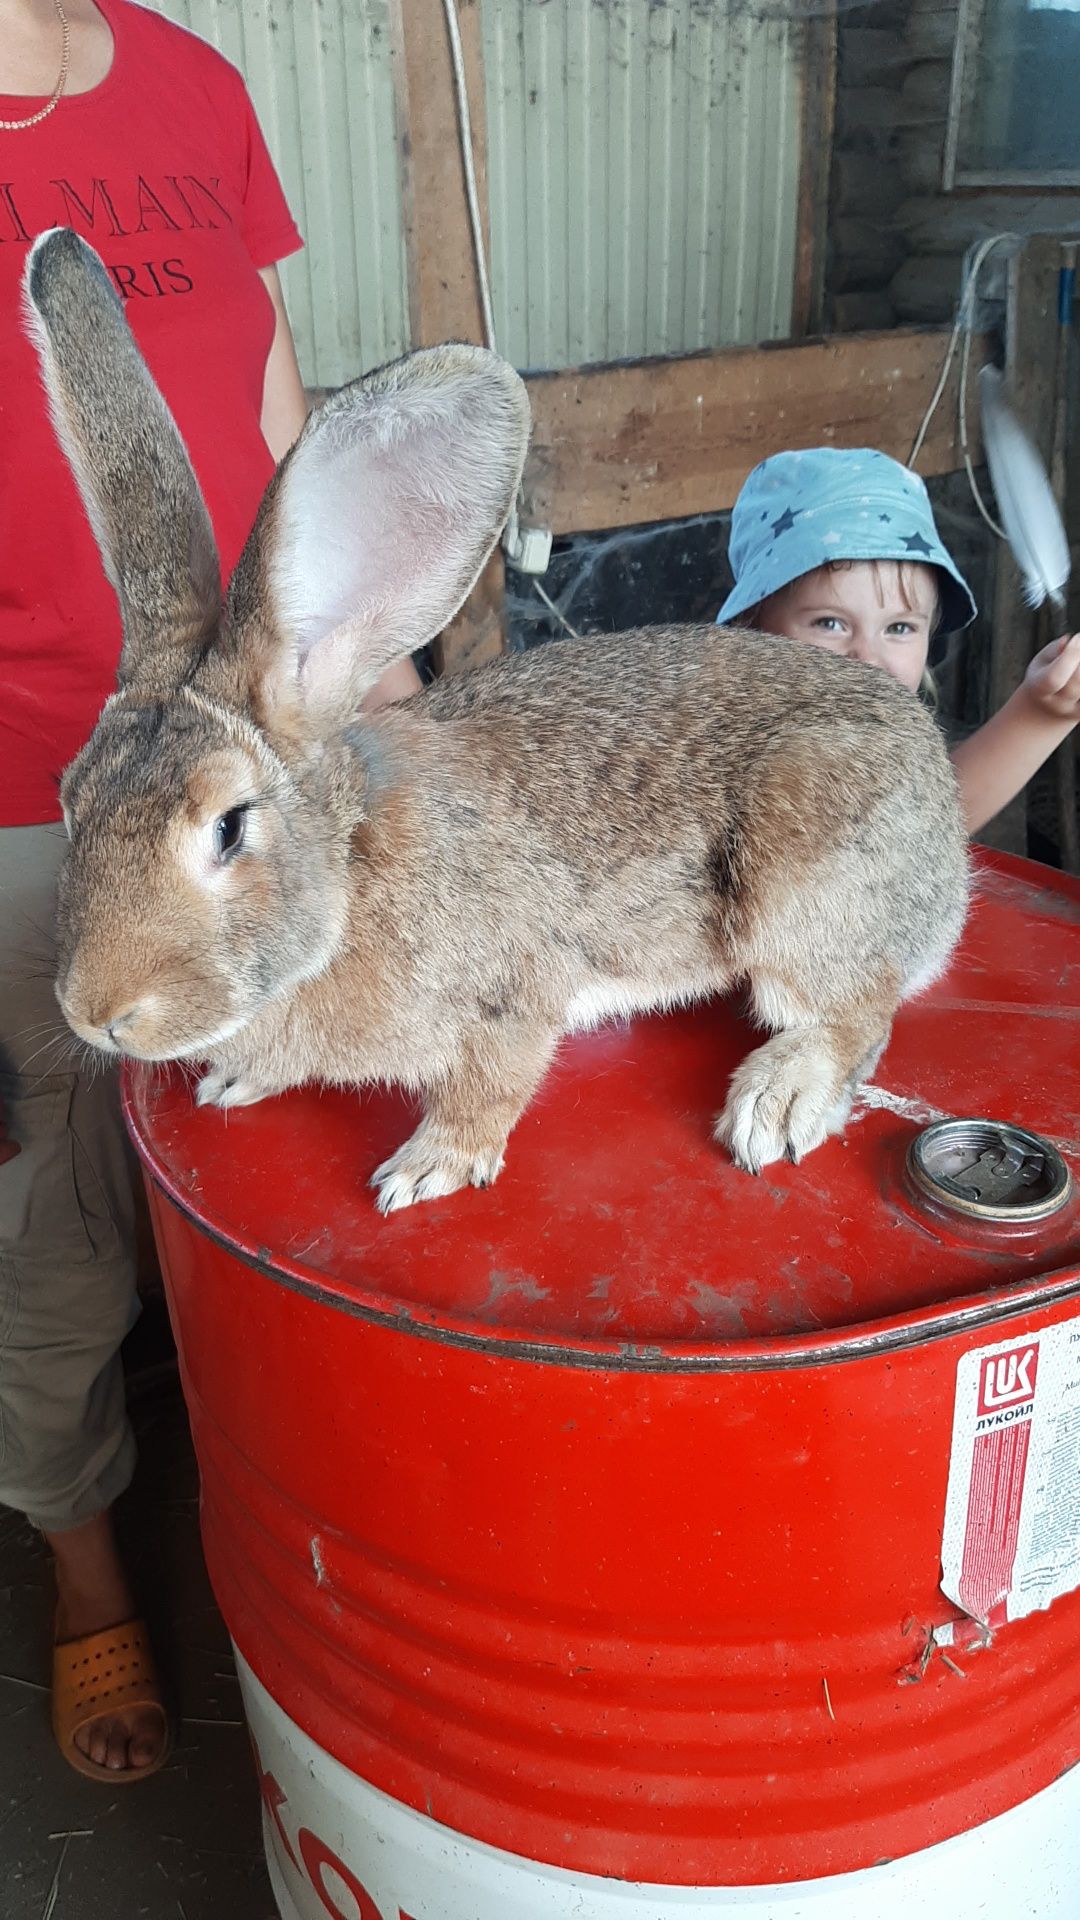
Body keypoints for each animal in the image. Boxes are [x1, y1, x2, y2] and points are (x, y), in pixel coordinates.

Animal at [27, 228, 968, 1213]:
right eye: (68, 801)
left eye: (229, 827)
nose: (98, 1015)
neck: (348, 876)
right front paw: (239, 1078)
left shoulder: (513, 994)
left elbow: (494, 1081)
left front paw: (427, 1167)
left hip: (803, 885)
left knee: (858, 1009)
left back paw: (778, 1104)